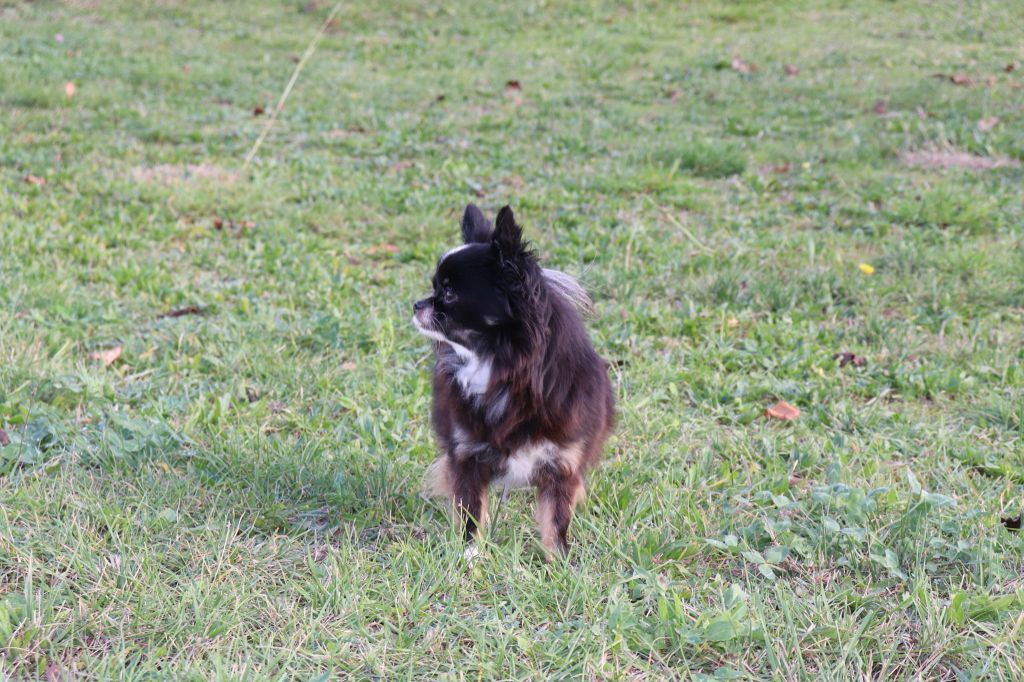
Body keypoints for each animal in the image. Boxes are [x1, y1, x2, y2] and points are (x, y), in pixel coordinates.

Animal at [409, 204, 614, 557]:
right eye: (436, 286)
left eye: (448, 292)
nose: (417, 304)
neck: (500, 370)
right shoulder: (467, 456)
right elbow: (472, 513)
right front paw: (470, 557)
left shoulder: (562, 464)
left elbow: (556, 519)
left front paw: (559, 561)